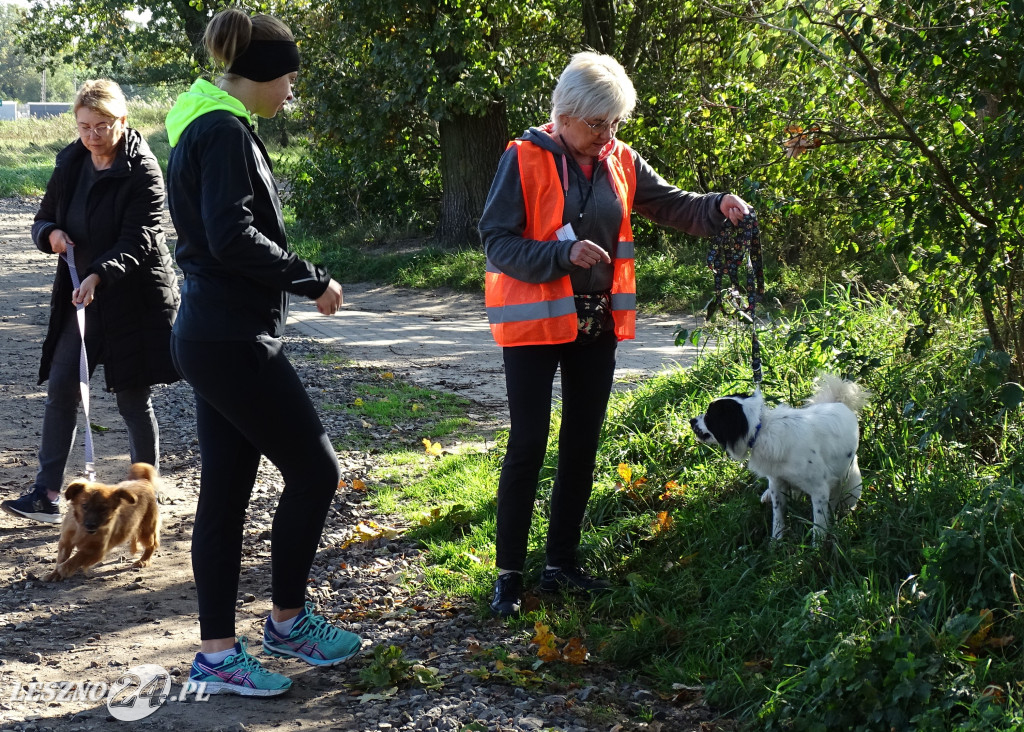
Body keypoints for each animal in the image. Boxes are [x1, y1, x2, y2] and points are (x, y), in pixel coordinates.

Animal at [692, 378, 868, 544]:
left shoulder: (820, 490)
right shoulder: (777, 480)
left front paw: (817, 547)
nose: (691, 420)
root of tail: (839, 403)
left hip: (851, 485)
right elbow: (778, 515)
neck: (761, 429)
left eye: (708, 416)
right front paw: (776, 541)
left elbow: (819, 523)